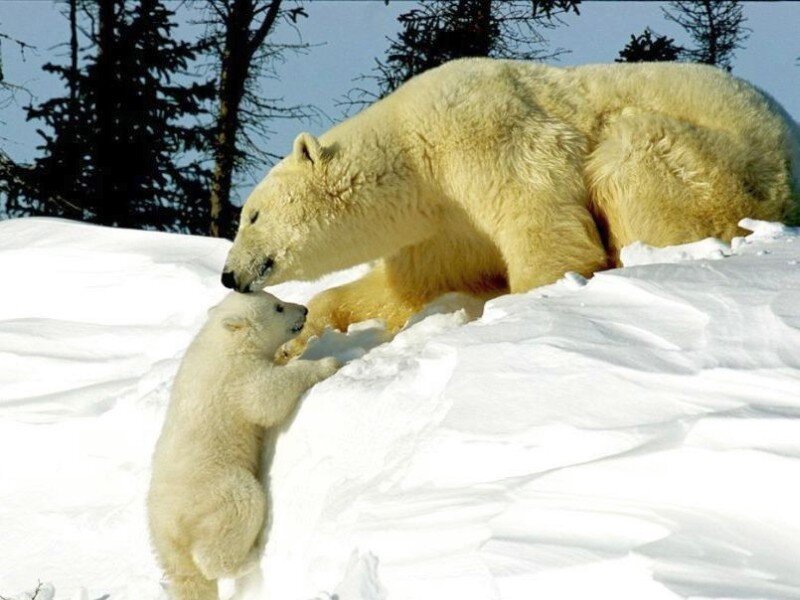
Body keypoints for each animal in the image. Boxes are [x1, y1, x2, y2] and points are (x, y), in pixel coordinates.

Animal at [147, 291, 338, 600]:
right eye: (278, 307)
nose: (304, 310)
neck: (224, 341)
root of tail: (168, 528)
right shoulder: (238, 378)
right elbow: (267, 396)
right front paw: (327, 362)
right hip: (216, 490)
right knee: (237, 512)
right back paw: (250, 559)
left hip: (167, 545)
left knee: (189, 578)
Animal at [220, 58, 800, 354]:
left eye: (252, 215)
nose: (229, 275)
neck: (415, 152)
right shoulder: (444, 226)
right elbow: (411, 286)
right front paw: (304, 334)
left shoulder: (487, 137)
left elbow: (544, 224)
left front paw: (522, 306)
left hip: (721, 167)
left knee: (632, 152)